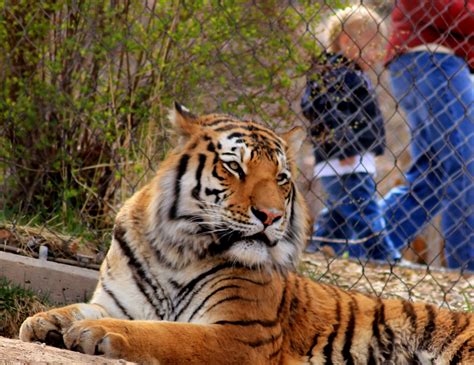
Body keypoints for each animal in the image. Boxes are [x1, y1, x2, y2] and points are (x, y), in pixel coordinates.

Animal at [19, 103, 474, 364]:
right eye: (234, 167)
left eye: (282, 178)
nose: (270, 215)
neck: (175, 250)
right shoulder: (119, 302)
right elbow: (78, 308)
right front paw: (43, 322)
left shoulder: (241, 334)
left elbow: (167, 334)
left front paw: (96, 335)